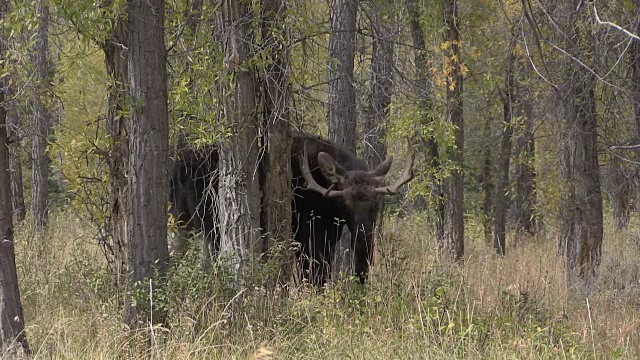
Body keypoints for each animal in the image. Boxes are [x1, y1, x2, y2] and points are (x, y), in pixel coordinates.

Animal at [168, 133, 412, 286]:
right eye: (345, 202)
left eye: (377, 204)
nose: (363, 239)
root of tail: (178, 168)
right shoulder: (307, 234)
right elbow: (314, 276)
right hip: (212, 223)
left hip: (183, 222)